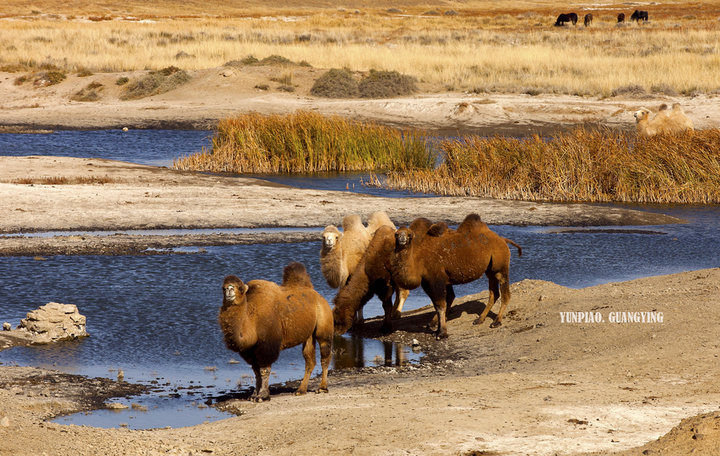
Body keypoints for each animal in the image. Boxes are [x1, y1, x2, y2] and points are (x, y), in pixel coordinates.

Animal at [218, 262, 334, 400]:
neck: (252, 318)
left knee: (325, 356)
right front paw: (254, 394)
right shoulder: (249, 350)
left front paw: (262, 396)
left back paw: (322, 388)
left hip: (324, 326)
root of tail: (318, 296)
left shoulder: (267, 345)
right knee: (309, 360)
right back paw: (301, 390)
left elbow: (264, 370)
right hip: (308, 335)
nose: (229, 290)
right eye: (223, 288)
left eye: (240, 288)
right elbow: (256, 371)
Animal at [390, 214, 520, 338]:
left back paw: (496, 321)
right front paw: (436, 328)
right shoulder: (431, 282)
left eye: (409, 235)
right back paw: (480, 319)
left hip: (500, 267)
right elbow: (443, 302)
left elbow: (440, 305)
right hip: (490, 270)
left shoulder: (435, 280)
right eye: (396, 234)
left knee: (505, 293)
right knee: (494, 293)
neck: (418, 255)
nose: (402, 239)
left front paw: (441, 333)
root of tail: (503, 239)